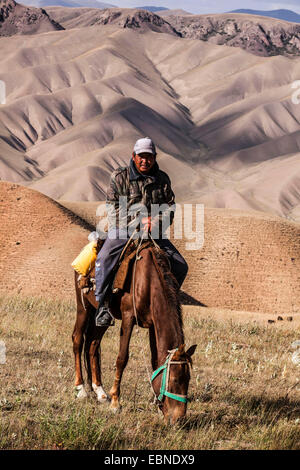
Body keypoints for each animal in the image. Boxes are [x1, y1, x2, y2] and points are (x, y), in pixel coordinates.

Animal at [72, 241, 197, 424]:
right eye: (174, 380)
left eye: (188, 380)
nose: (179, 419)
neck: (147, 281)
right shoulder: (128, 317)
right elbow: (122, 358)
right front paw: (116, 403)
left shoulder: (153, 324)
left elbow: (155, 360)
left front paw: (156, 404)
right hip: (83, 307)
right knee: (78, 340)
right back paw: (81, 388)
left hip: (100, 316)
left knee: (93, 344)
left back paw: (100, 391)